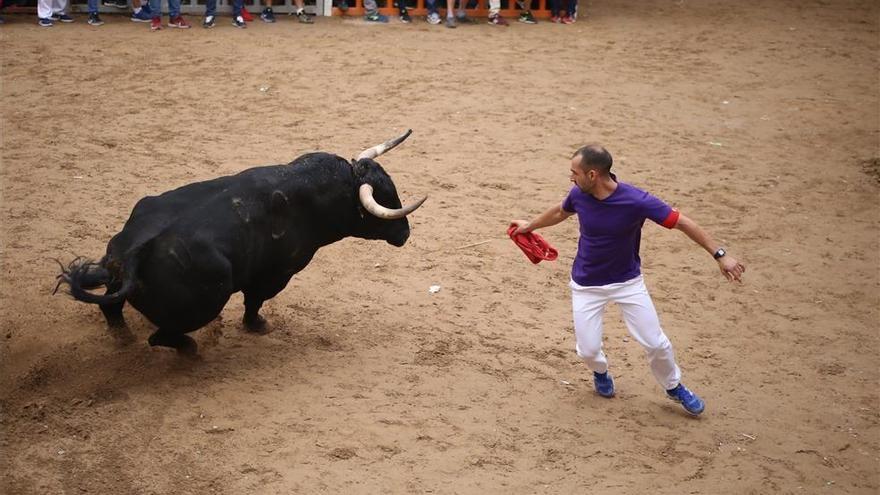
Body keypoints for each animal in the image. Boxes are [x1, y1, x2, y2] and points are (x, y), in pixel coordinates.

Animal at [55, 130, 426, 354]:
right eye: (384, 197)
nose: (405, 233)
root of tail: (133, 254)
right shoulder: (276, 274)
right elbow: (254, 301)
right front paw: (257, 326)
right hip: (205, 303)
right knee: (160, 336)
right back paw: (190, 350)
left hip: (118, 281)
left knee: (112, 309)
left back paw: (123, 339)